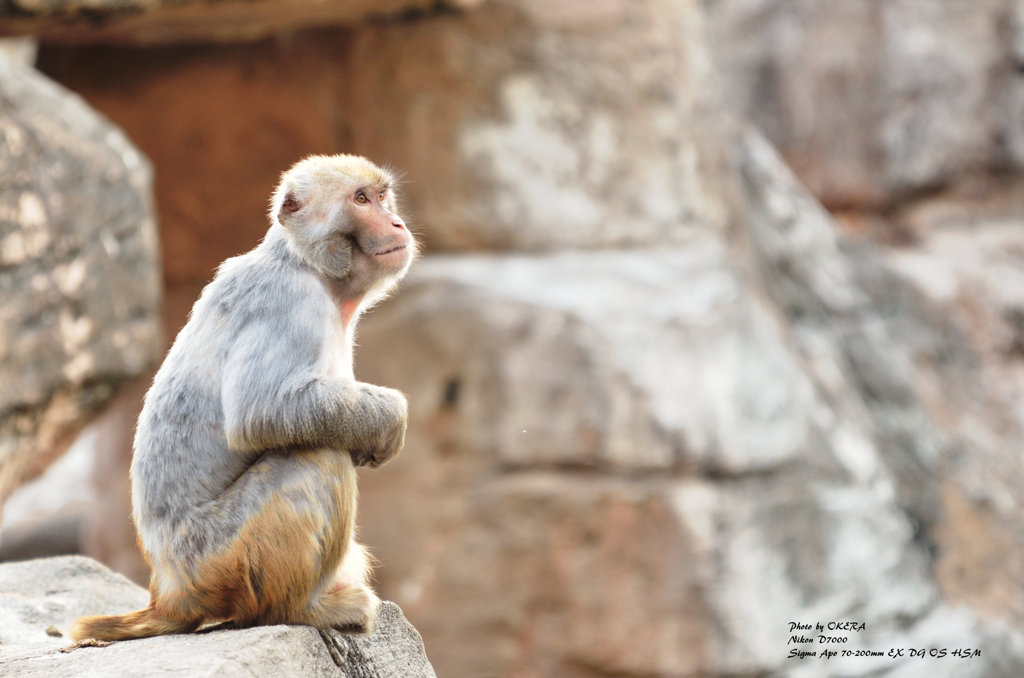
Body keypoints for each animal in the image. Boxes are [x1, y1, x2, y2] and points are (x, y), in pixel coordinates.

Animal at [71, 153, 415, 643]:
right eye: (361, 199)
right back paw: (301, 609)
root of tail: (168, 591)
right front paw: (388, 420)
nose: (396, 222)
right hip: (225, 559)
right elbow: (262, 412)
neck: (308, 264)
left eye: (383, 196)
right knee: (317, 457)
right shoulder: (291, 303)